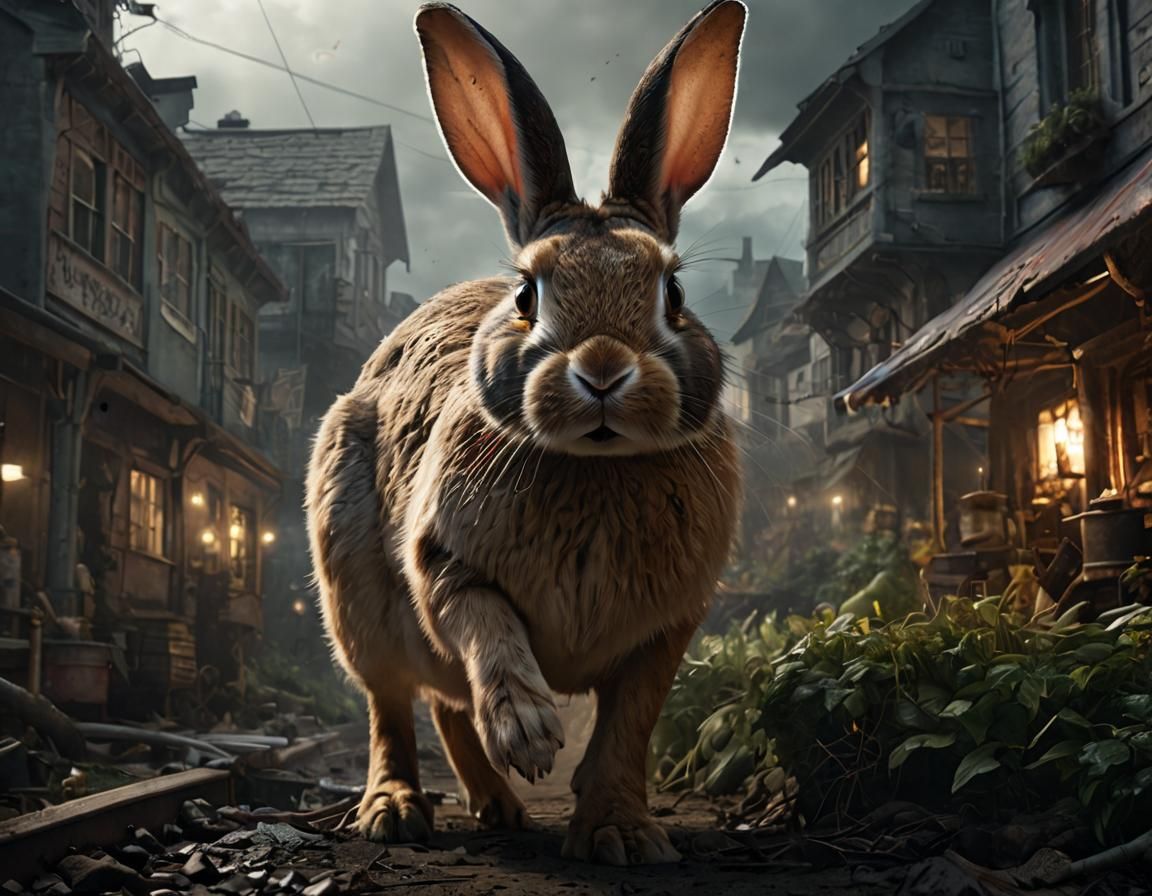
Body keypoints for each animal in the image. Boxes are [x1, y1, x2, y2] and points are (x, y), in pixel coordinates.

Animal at [305, 0, 745, 866]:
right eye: (527, 295)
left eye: (673, 294)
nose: (603, 370)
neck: (595, 466)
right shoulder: (443, 563)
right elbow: (488, 629)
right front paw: (531, 734)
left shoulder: (666, 630)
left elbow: (628, 727)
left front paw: (619, 832)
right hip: (354, 594)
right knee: (393, 706)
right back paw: (398, 810)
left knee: (443, 707)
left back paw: (501, 807)